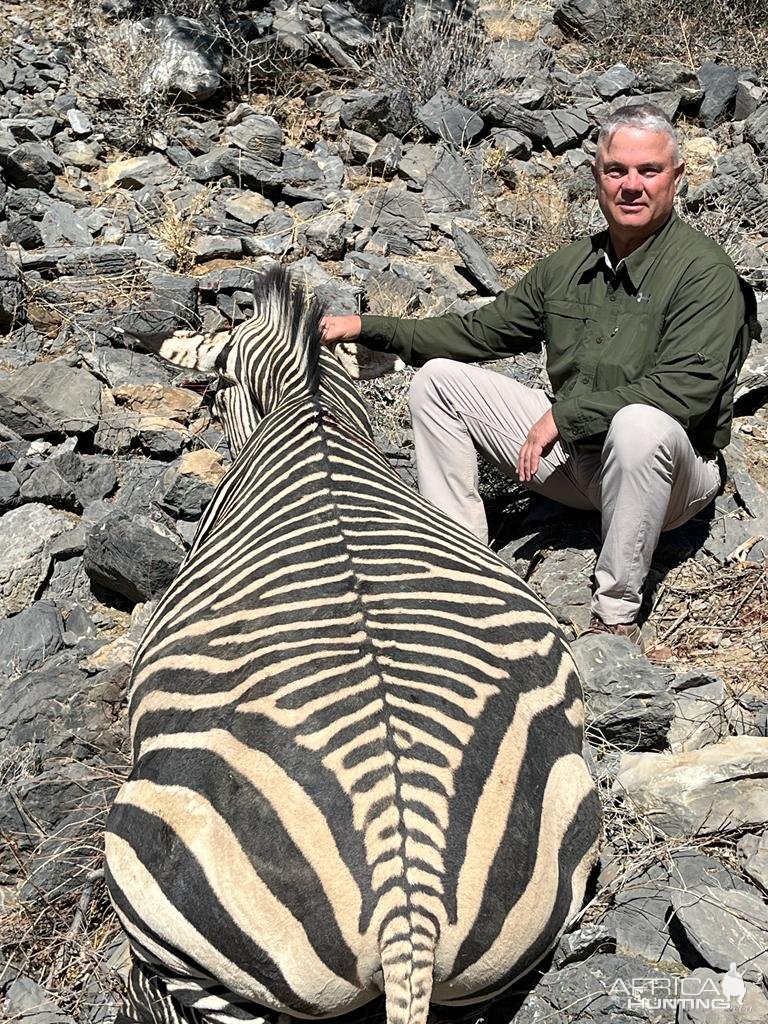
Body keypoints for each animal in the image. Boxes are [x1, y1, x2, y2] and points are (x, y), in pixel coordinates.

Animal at [105, 266, 606, 1024]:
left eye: (220, 387)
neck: (314, 412)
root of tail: (408, 912)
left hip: (164, 889)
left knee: (167, 992)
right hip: (543, 861)